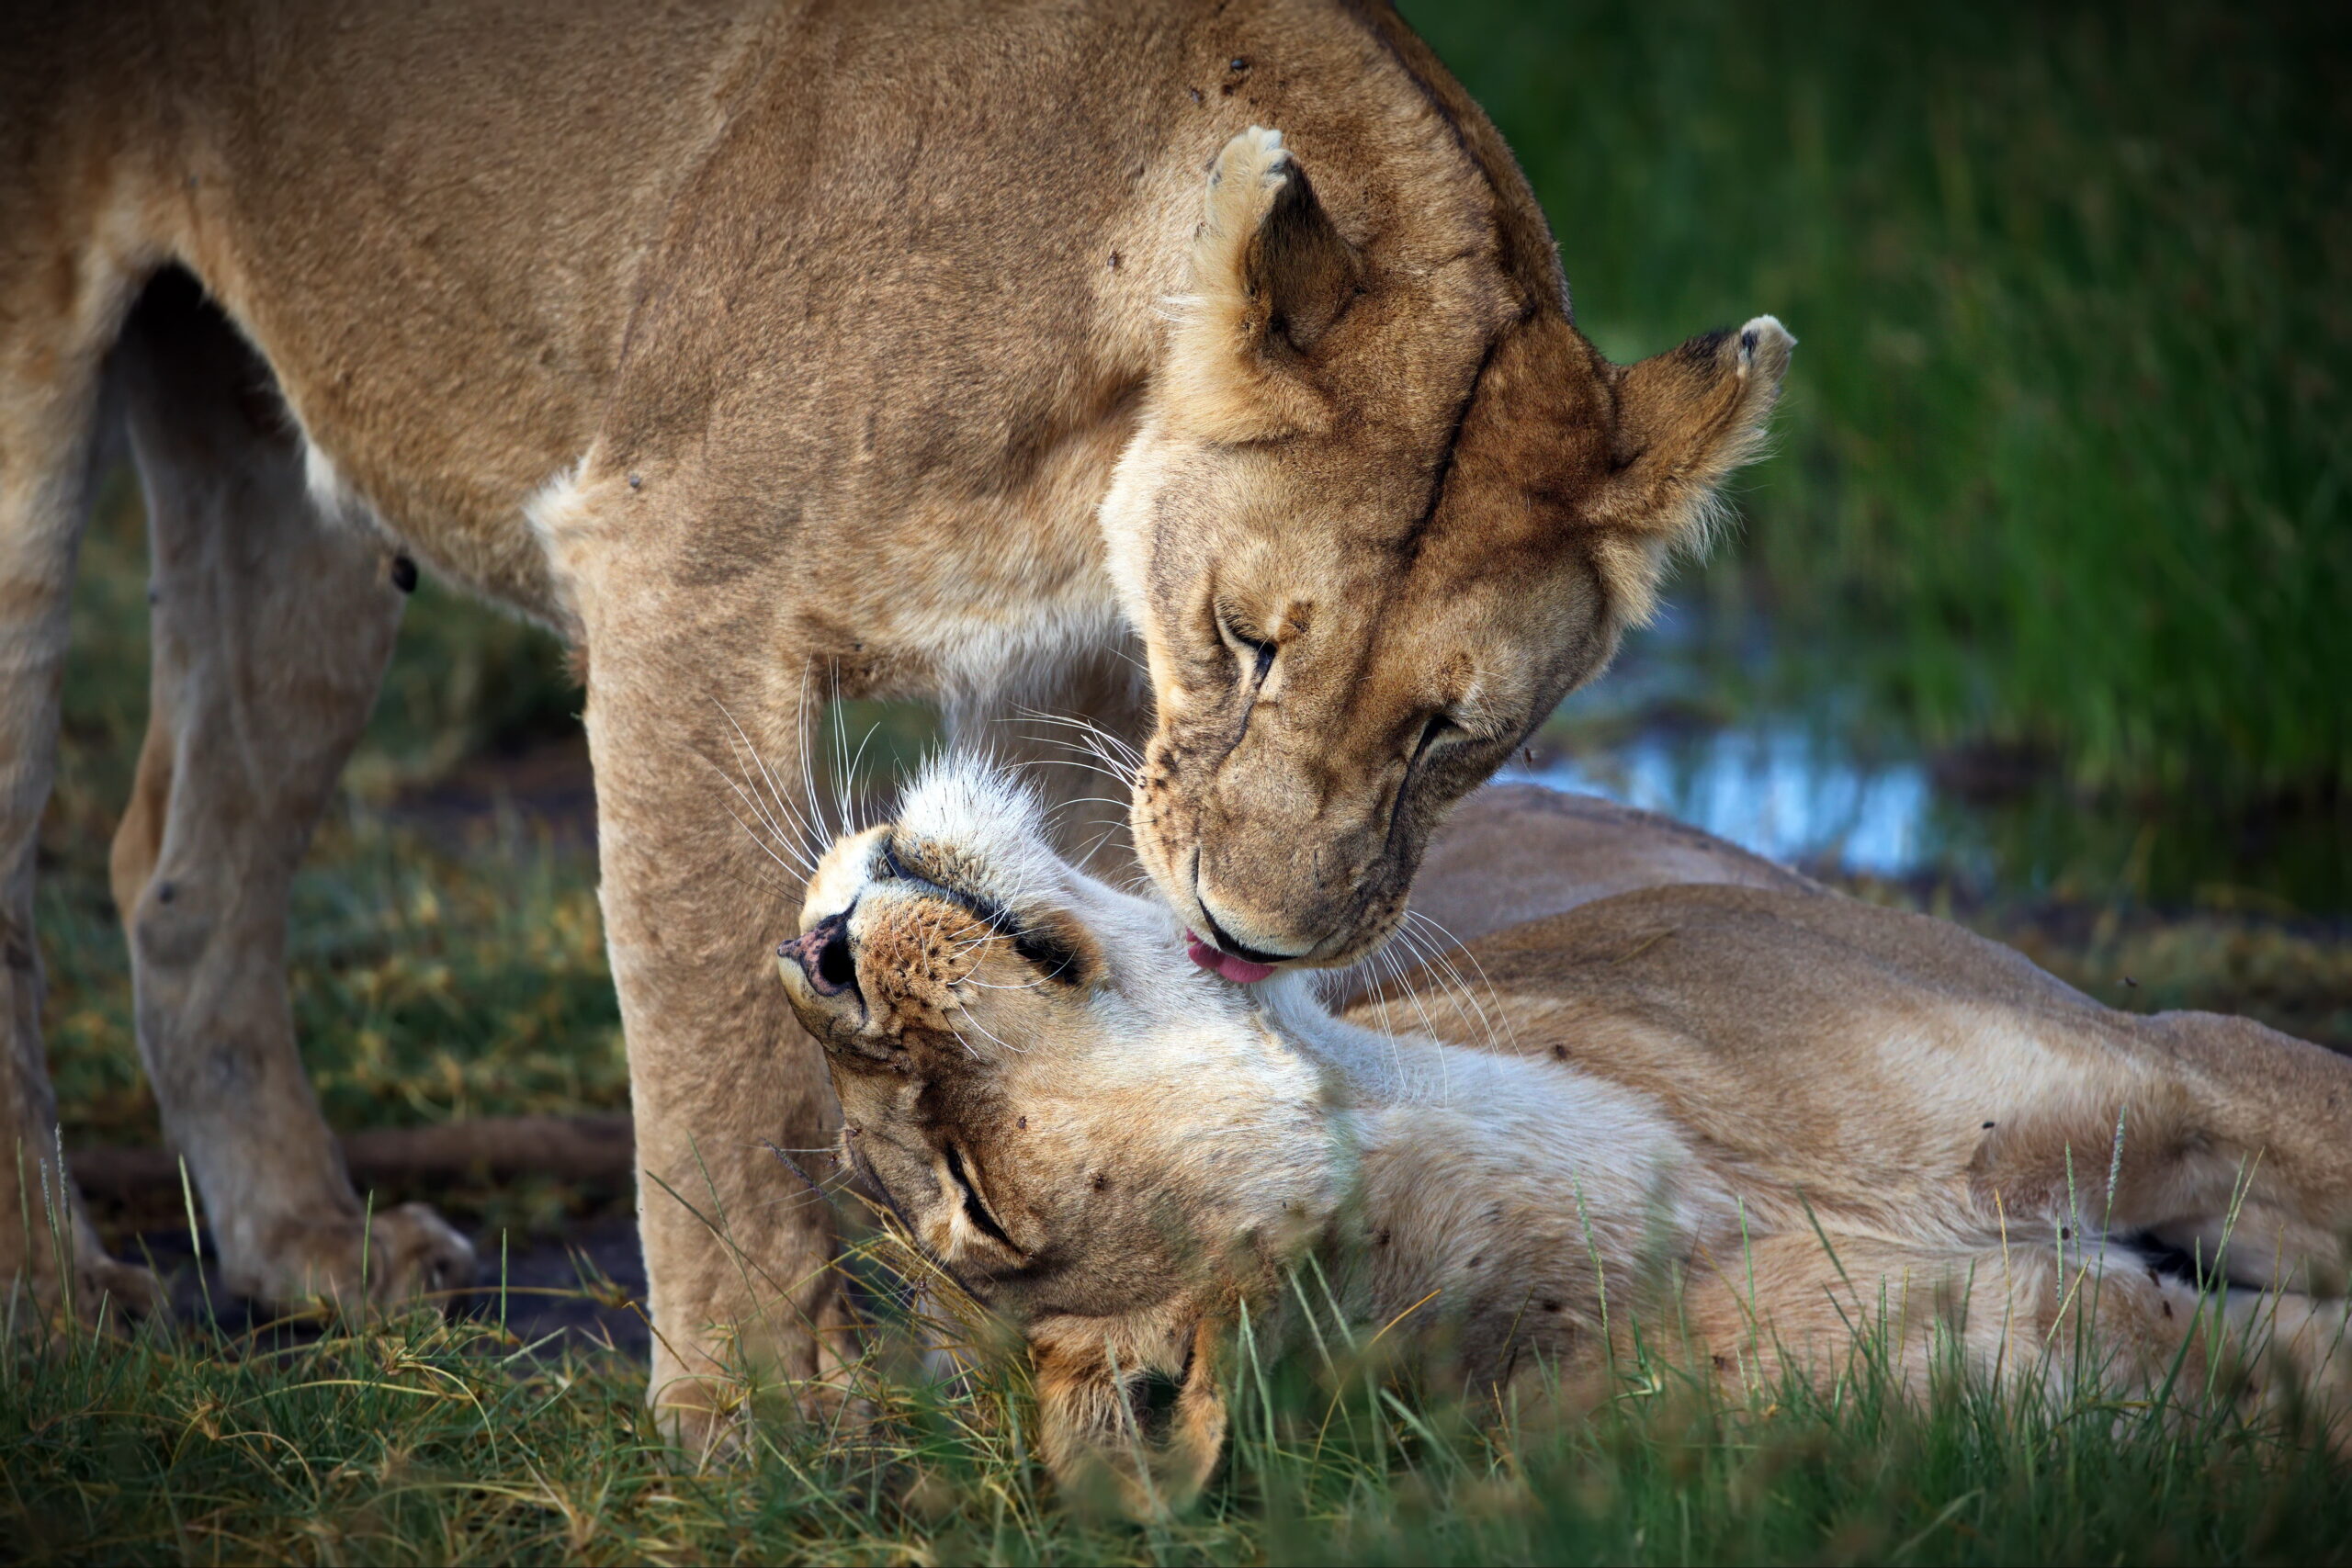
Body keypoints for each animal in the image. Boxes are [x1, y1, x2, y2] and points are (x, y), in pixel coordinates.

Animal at [1, 0, 1789, 1437]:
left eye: (1449, 730)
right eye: (1247, 640)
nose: (1256, 935)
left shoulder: (1078, 697)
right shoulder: (680, 574)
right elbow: (718, 1050)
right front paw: (759, 1419)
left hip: (294, 490)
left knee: (180, 871)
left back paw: (309, 1250)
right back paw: (58, 1312)